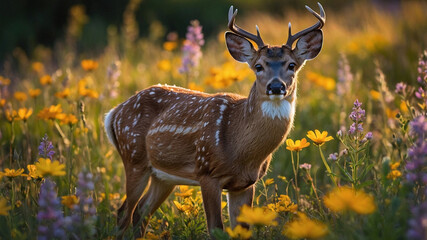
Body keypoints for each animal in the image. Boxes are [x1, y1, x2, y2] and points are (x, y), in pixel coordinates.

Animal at [105, 2, 326, 239]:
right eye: (258, 66)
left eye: (292, 65)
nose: (276, 86)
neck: (241, 150)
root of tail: (114, 112)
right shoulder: (207, 172)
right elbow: (216, 229)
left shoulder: (245, 183)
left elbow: (243, 229)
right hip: (133, 156)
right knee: (124, 211)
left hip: (163, 175)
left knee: (141, 212)